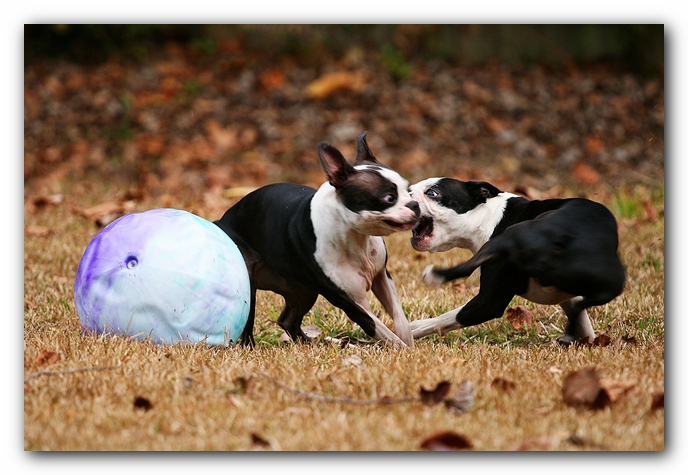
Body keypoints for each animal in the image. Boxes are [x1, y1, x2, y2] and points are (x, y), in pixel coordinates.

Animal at [215, 134, 420, 350]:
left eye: (408, 190)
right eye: (389, 198)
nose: (414, 204)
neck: (356, 238)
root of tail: (224, 219)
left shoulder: (382, 276)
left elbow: (398, 313)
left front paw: (407, 337)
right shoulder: (352, 303)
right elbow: (380, 329)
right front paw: (403, 350)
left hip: (304, 292)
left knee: (288, 320)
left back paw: (310, 343)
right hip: (249, 285)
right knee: (248, 323)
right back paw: (251, 346)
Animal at [408, 178, 628, 342]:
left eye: (432, 193)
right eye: (410, 189)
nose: (406, 194)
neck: (487, 217)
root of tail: (563, 235)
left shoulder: (490, 301)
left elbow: (447, 318)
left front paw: (411, 329)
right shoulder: (567, 294)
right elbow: (583, 322)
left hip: (512, 236)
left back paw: (435, 276)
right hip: (611, 282)